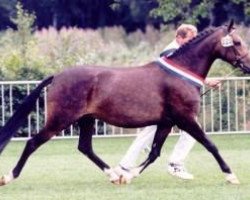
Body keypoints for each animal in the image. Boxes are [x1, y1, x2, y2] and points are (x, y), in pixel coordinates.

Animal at [0, 20, 249, 186]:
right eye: (237, 42)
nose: (247, 65)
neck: (181, 74)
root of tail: (58, 76)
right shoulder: (186, 119)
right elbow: (210, 145)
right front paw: (231, 175)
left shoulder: (166, 123)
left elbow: (154, 152)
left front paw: (128, 175)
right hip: (60, 119)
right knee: (33, 142)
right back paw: (9, 177)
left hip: (86, 120)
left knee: (85, 147)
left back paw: (114, 175)